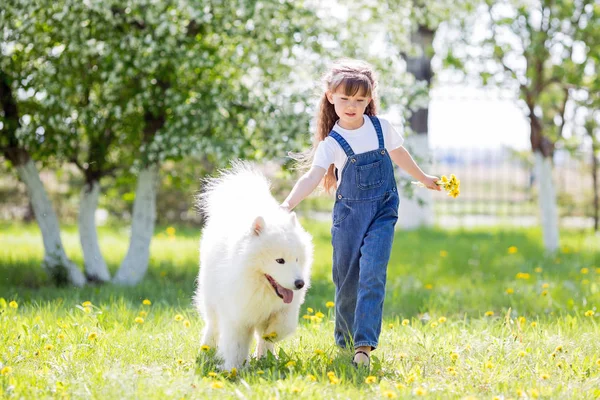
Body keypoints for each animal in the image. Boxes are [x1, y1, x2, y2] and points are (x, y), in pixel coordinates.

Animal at [193, 161, 314, 370]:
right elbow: (236, 344)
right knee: (212, 325)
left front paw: (271, 336)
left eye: (297, 259)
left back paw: (266, 356)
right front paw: (234, 369)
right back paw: (206, 349)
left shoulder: (286, 308)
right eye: (279, 261)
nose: (300, 284)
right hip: (212, 299)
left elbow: (282, 327)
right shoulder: (238, 313)